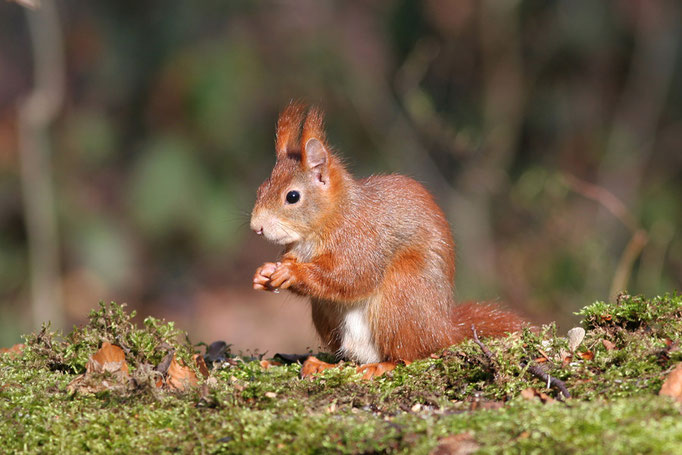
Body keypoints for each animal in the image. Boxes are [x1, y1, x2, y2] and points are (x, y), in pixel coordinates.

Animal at [250, 102, 520, 378]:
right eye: (261, 189)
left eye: (292, 196)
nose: (256, 227)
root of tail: (443, 330)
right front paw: (265, 272)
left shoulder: (364, 239)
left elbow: (352, 276)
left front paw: (293, 272)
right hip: (326, 314)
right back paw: (323, 364)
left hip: (401, 297)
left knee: (409, 355)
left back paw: (379, 366)